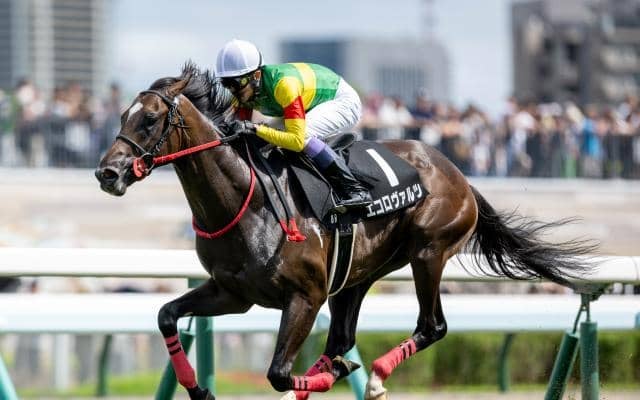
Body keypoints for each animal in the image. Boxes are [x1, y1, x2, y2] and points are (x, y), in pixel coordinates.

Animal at [95, 63, 595, 400]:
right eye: (122, 116)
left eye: (150, 119)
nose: (107, 173)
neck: (245, 202)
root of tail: (459, 174)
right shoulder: (232, 293)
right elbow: (166, 315)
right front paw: (198, 389)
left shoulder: (305, 296)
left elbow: (278, 372)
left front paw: (323, 376)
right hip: (356, 275)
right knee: (342, 338)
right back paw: (339, 368)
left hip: (428, 252)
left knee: (431, 326)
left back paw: (371, 375)